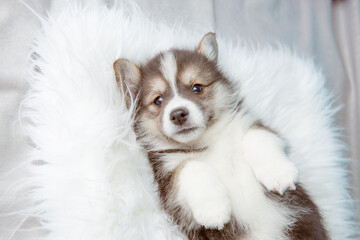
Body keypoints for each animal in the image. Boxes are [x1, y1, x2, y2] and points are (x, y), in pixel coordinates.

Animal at [113, 32, 330, 240]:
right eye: (158, 100)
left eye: (197, 88)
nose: (178, 114)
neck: (207, 142)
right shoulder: (167, 180)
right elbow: (190, 167)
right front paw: (214, 211)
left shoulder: (250, 124)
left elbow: (256, 137)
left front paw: (279, 173)